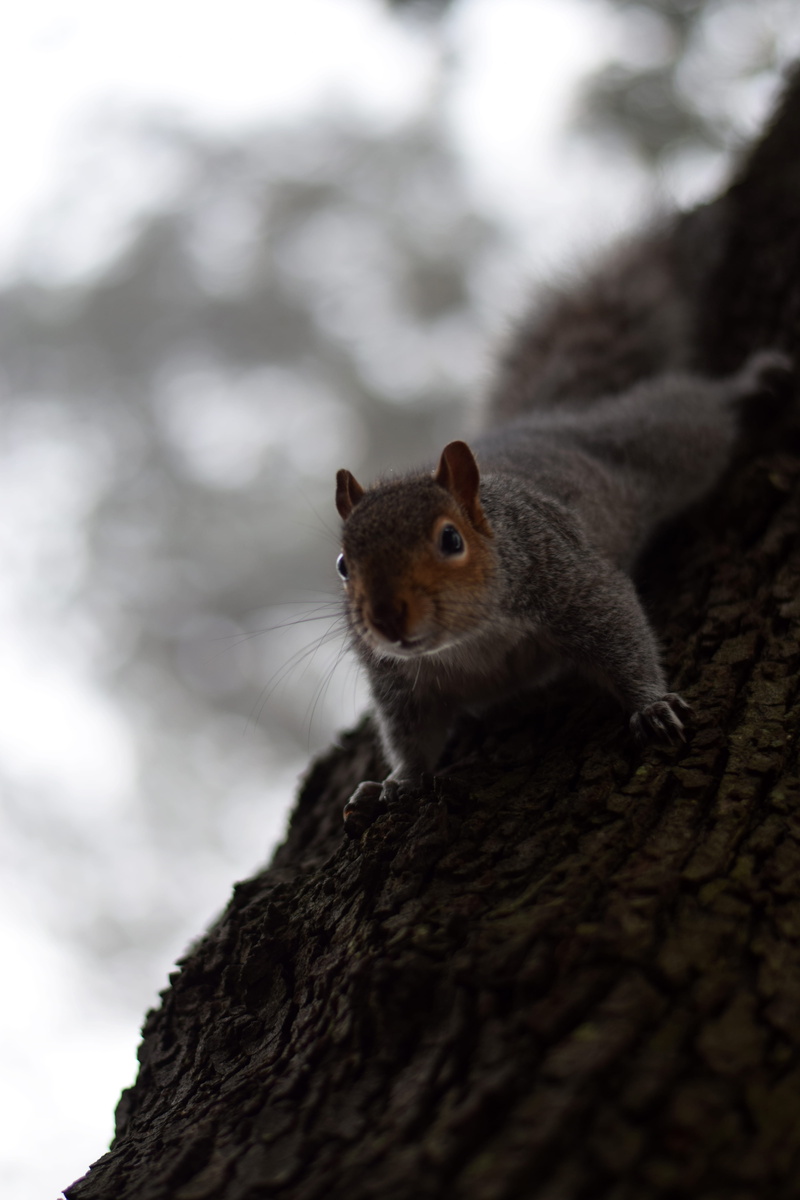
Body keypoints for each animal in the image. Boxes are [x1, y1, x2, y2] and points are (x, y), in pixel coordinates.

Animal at [333, 213, 794, 834]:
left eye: (450, 539)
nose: (385, 619)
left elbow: (621, 631)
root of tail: (546, 420)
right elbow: (411, 737)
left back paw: (749, 381)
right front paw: (395, 784)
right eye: (342, 565)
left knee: (694, 409)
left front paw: (652, 704)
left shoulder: (568, 578)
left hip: (659, 442)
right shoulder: (399, 682)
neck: (467, 641)